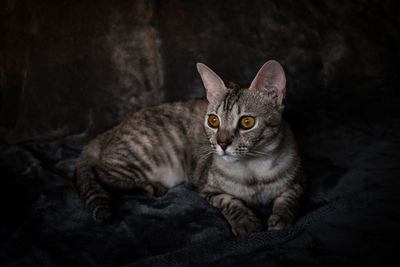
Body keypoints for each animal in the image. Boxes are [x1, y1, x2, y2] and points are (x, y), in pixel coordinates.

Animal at [76, 59, 304, 236]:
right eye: (213, 120)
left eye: (247, 122)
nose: (222, 143)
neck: (253, 172)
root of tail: (112, 130)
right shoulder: (208, 188)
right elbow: (230, 201)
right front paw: (246, 222)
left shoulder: (300, 180)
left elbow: (290, 198)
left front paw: (282, 218)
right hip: (142, 157)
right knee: (103, 172)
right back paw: (148, 185)